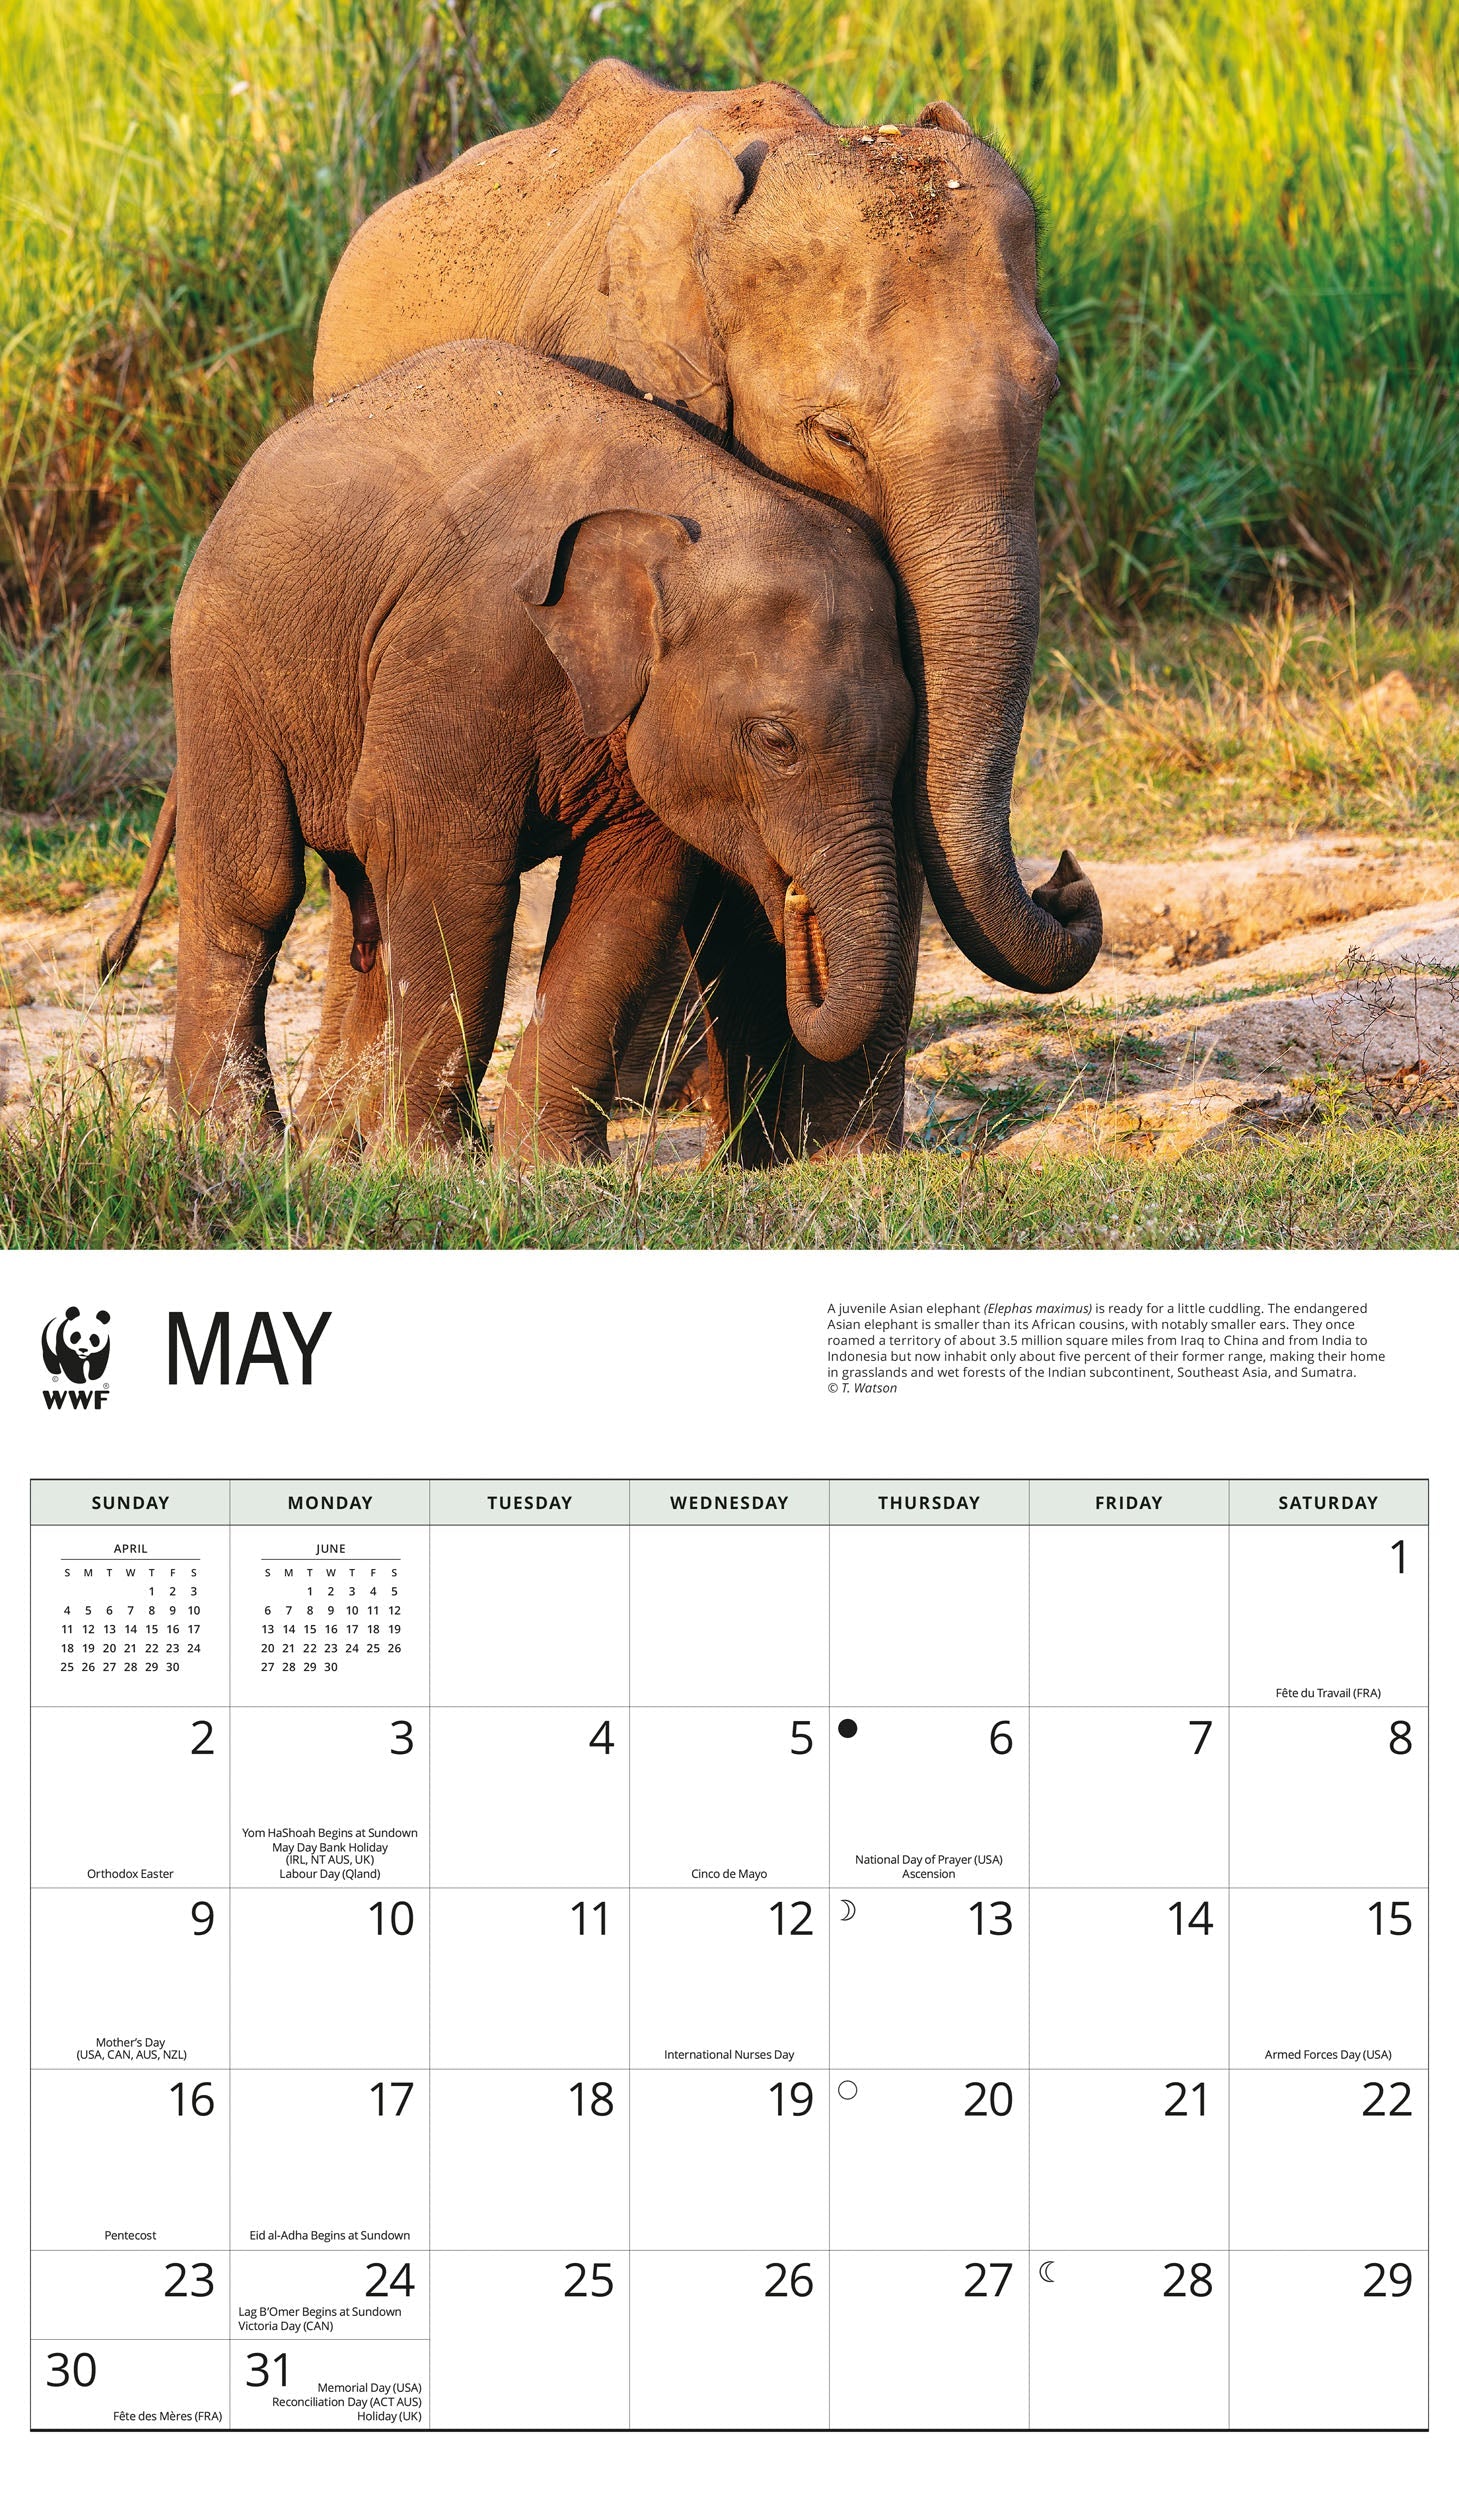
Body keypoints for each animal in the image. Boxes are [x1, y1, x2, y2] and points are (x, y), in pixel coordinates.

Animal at [101, 340, 912, 1151]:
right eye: (776, 740)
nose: (798, 905)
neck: (703, 506)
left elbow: (631, 891)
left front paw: (545, 1165)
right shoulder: (464, 648)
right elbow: (436, 850)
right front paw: (435, 1160)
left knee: (368, 905)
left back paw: (340, 1148)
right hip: (221, 658)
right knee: (257, 884)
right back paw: (234, 1139)